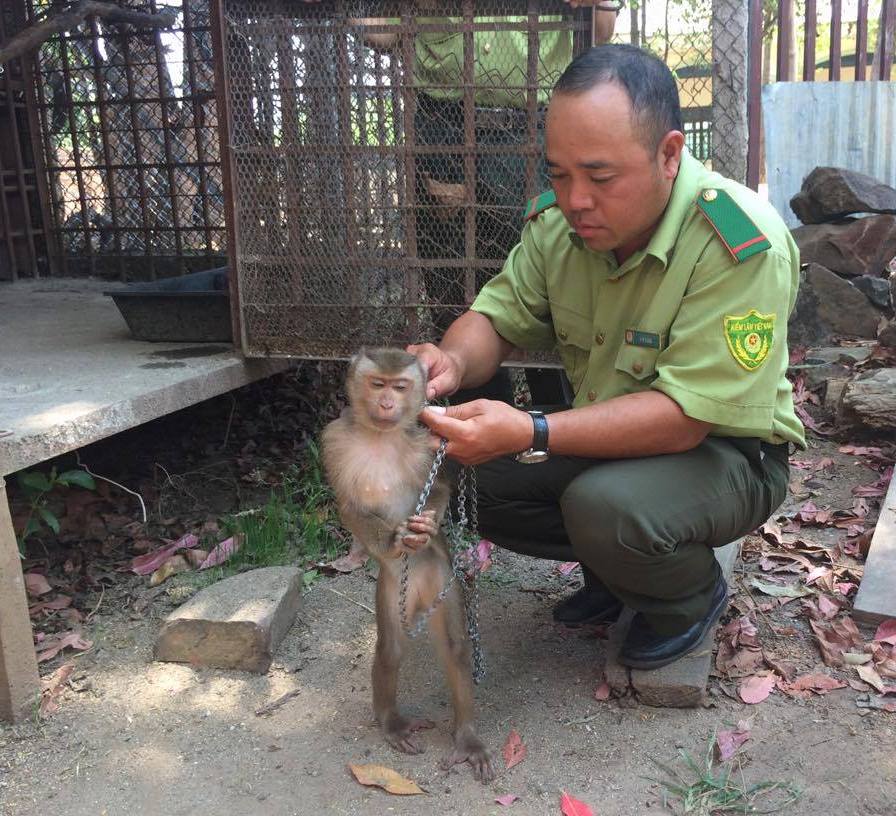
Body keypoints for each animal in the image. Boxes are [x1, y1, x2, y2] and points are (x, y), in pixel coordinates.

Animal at [320, 348, 494, 780]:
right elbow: (348, 506)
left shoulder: (426, 444)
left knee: (455, 647)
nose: (386, 404)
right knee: (391, 648)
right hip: (389, 590)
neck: (382, 434)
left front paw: (424, 529)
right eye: (377, 384)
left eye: (399, 387)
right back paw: (391, 723)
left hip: (442, 583)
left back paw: (466, 737)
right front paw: (394, 540)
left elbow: (442, 487)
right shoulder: (334, 439)